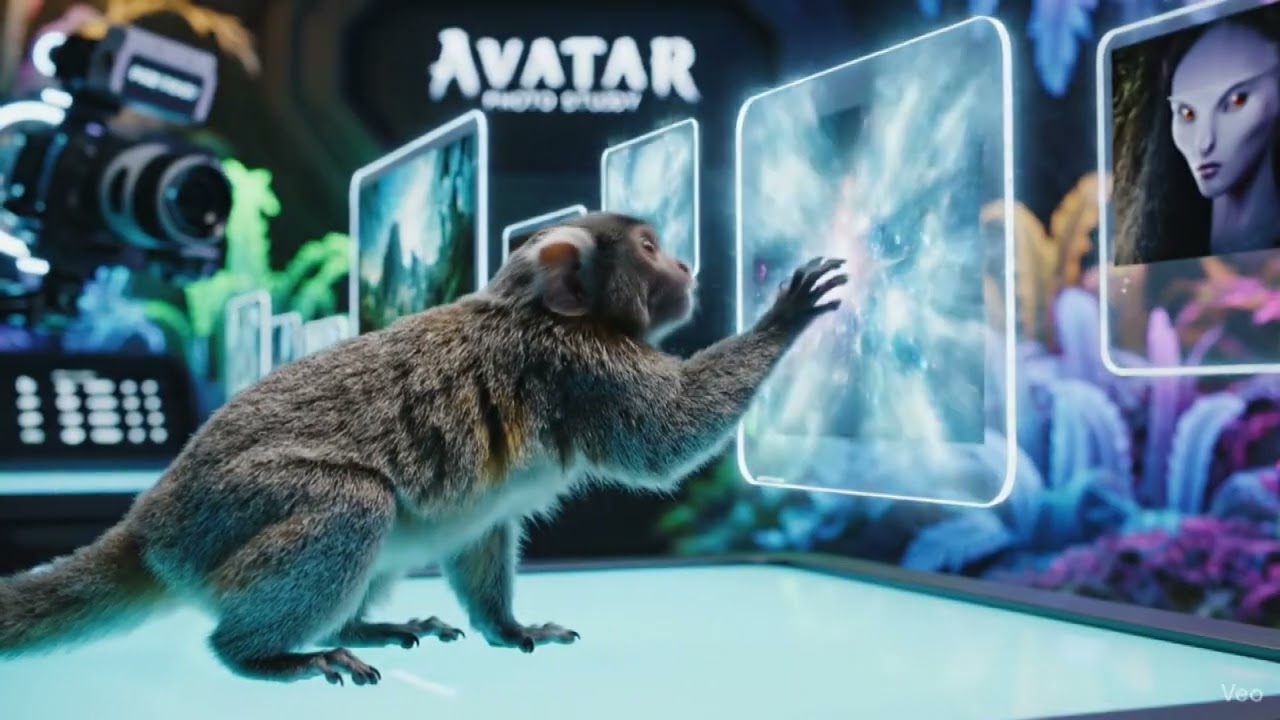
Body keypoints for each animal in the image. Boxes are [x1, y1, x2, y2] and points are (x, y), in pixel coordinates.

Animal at [0, 212, 847, 686]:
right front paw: (783, 319)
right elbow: (664, 442)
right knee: (354, 502)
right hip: (222, 515)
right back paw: (261, 654)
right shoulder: (582, 364)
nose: (684, 265)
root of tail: (153, 522)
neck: (541, 310)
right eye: (648, 247)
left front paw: (509, 629)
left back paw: (350, 628)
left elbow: (486, 530)